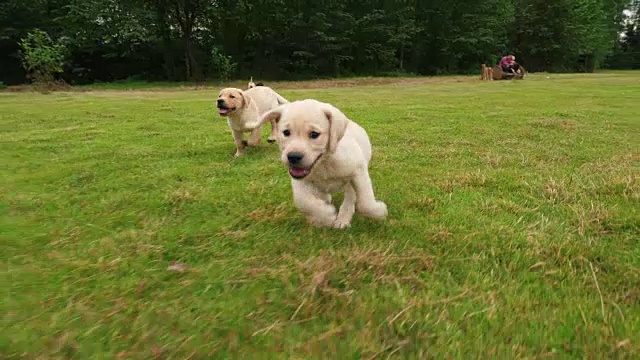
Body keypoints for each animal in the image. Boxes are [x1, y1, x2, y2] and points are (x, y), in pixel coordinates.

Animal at [258, 99, 388, 228]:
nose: (293, 157)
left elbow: (365, 203)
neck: (324, 163)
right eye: (286, 132)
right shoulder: (300, 181)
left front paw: (378, 211)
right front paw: (325, 216)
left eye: (314, 134)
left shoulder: (359, 171)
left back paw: (343, 218)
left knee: (350, 195)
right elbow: (303, 201)